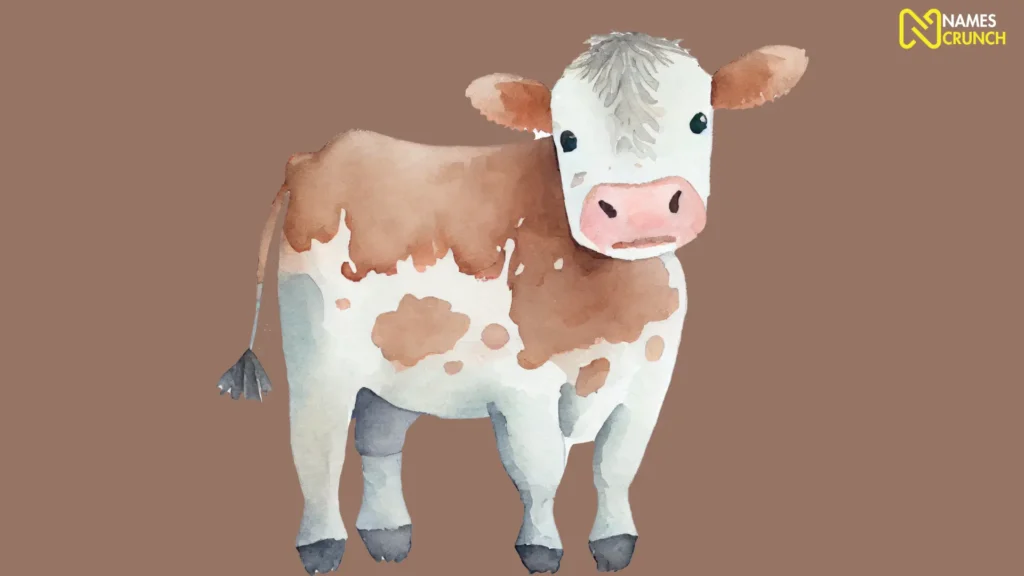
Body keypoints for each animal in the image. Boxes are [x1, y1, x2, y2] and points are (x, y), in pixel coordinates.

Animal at [217, 32, 808, 575]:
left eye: (700, 120)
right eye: (566, 136)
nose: (641, 208)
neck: (611, 305)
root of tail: (315, 156)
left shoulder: (649, 381)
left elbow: (616, 465)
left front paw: (614, 545)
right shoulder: (524, 387)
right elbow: (541, 470)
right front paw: (541, 550)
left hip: (399, 356)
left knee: (378, 438)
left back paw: (388, 536)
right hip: (318, 354)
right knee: (315, 447)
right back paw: (322, 547)